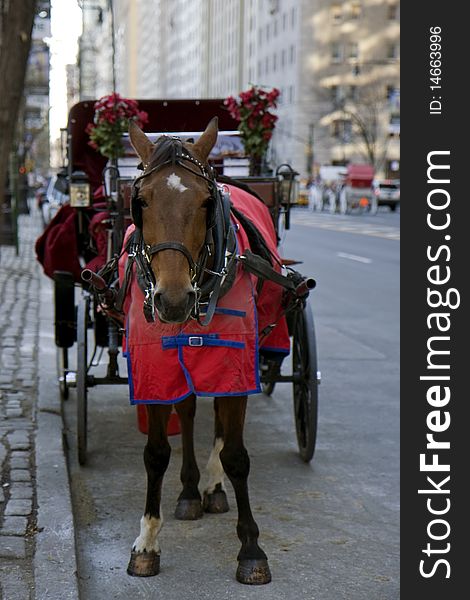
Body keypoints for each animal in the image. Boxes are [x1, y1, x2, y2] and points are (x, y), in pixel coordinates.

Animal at [125, 118, 272, 584]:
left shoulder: (235, 365)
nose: (173, 300)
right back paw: (190, 490)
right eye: (141, 201)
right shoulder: (154, 367)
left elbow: (236, 454)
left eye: (207, 202)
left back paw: (211, 486)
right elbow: (156, 453)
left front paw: (251, 548)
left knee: (220, 426)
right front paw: (147, 541)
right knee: (188, 411)